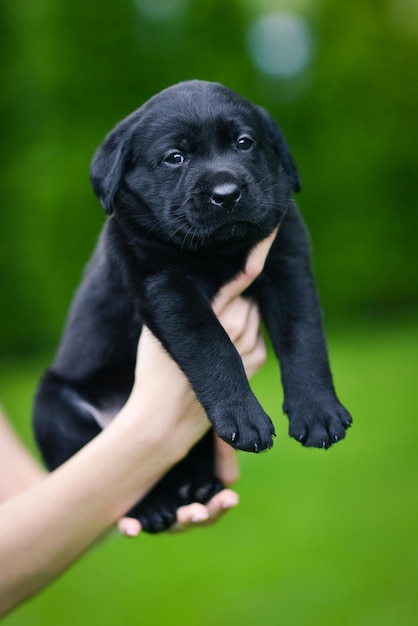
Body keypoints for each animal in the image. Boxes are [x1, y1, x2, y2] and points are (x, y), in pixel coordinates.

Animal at [33, 77, 352, 528]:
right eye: (175, 157)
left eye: (244, 142)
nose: (227, 194)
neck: (218, 251)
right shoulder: (165, 282)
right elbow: (213, 344)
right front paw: (244, 416)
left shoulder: (288, 264)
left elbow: (304, 337)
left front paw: (319, 412)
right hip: (52, 406)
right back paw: (152, 506)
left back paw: (196, 485)